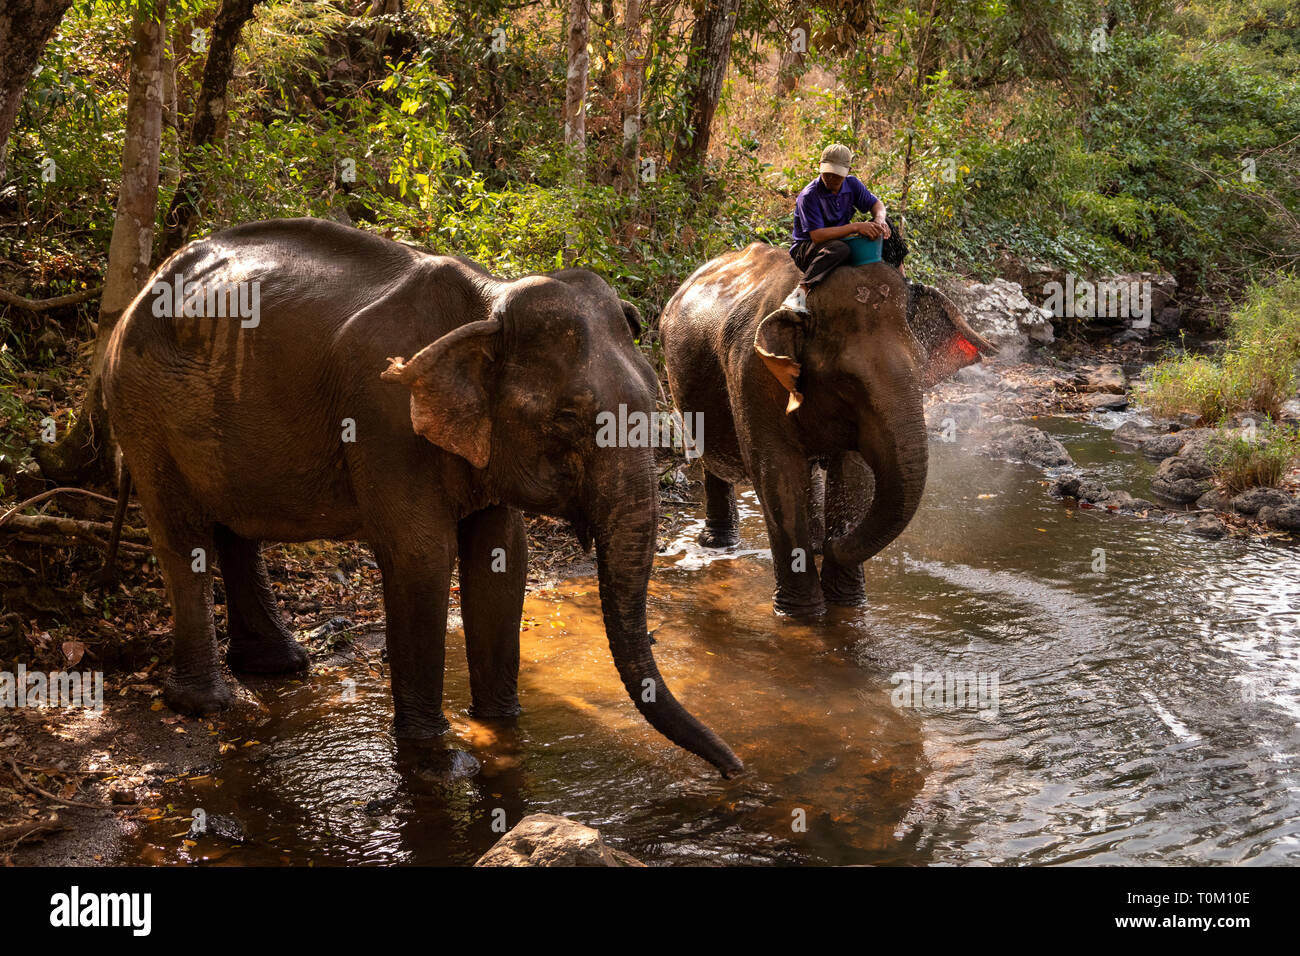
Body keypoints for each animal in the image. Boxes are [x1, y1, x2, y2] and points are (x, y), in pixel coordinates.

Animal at [104, 214, 743, 780]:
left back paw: (279, 666)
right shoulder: (383, 415)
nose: (734, 770)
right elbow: (420, 556)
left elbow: (502, 557)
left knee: (235, 529)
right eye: (568, 419)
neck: (487, 306)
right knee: (182, 535)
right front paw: (432, 752)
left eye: (655, 396)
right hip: (142, 406)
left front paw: (502, 723)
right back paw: (207, 704)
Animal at [665, 243, 987, 616]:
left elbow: (853, 474)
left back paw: (817, 545)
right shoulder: (753, 374)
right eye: (846, 382)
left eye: (923, 369)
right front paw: (801, 614)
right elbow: (778, 473)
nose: (838, 545)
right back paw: (718, 544)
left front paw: (846, 601)